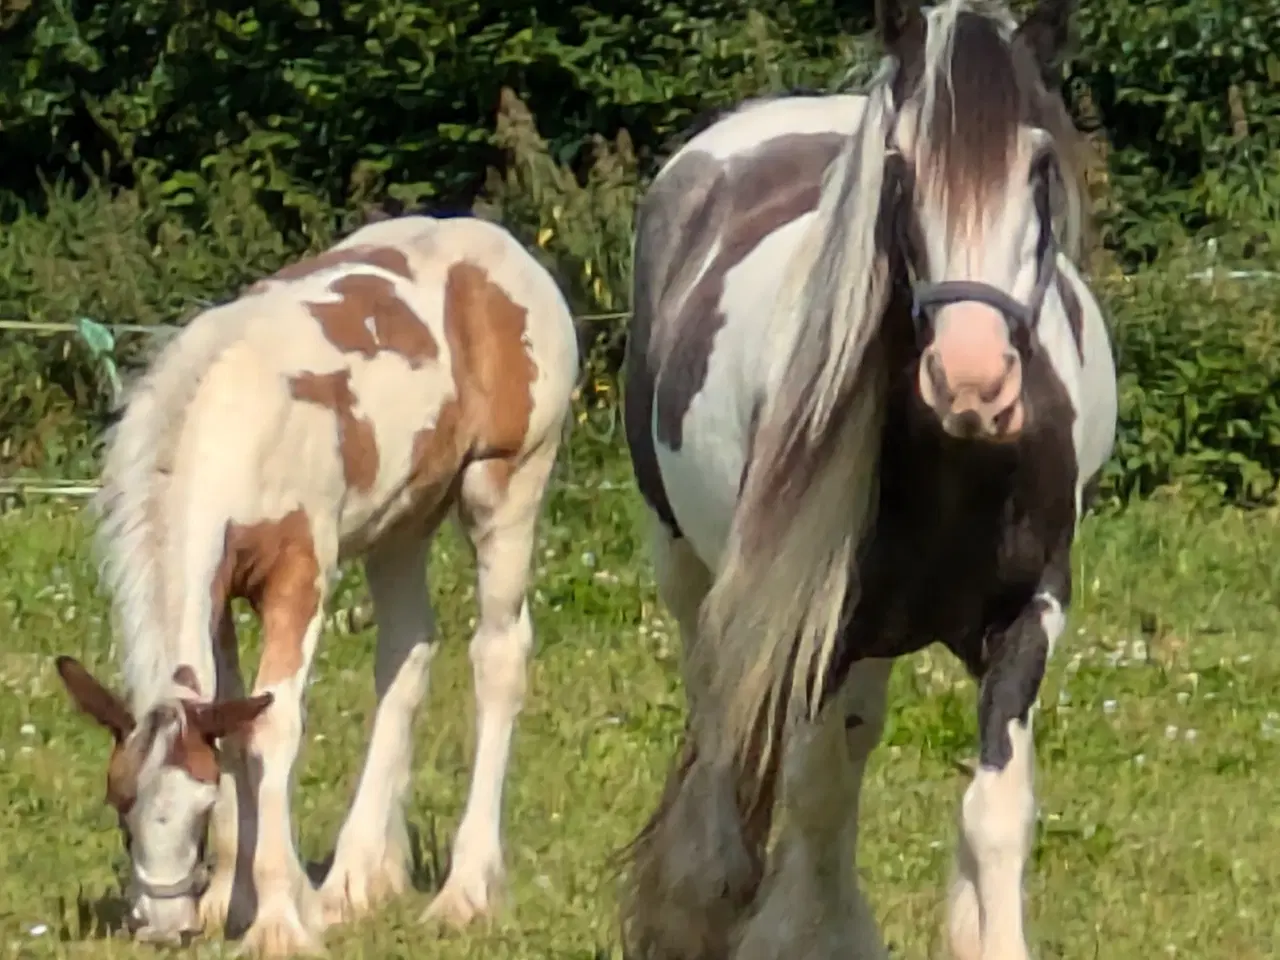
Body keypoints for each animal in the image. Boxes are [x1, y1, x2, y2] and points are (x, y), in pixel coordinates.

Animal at [51, 213, 581, 957]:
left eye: (200, 807)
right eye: (120, 801)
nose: (161, 924)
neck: (233, 421)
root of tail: (507, 250)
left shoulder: (297, 578)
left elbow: (272, 727)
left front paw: (277, 919)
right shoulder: (219, 593)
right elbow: (231, 721)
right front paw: (231, 900)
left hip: (504, 487)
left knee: (499, 658)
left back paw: (465, 892)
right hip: (402, 524)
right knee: (406, 657)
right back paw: (356, 881)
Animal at [616, 1, 1111, 960]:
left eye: (1038, 165)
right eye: (900, 168)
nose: (972, 381)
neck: (961, 471)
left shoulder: (1028, 615)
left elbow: (994, 808)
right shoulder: (820, 624)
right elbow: (814, 791)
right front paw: (805, 931)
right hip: (686, 566)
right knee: (727, 725)